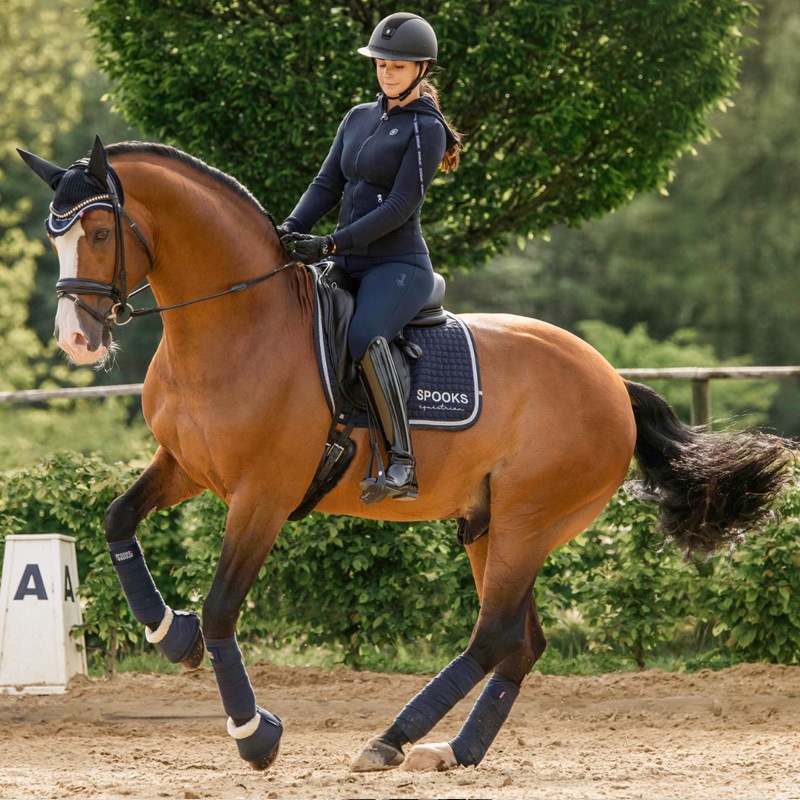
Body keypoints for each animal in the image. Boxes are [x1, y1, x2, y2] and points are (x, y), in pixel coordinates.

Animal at [19, 137, 794, 773]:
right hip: (490, 525)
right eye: (56, 239)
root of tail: (610, 380)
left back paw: (390, 739)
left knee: (493, 637)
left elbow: (220, 610)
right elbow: (118, 520)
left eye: (98, 231)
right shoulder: (186, 468)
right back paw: (453, 750)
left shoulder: (261, 497)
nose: (76, 340)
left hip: (529, 522)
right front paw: (168, 633)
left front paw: (255, 735)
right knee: (521, 643)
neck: (236, 325)